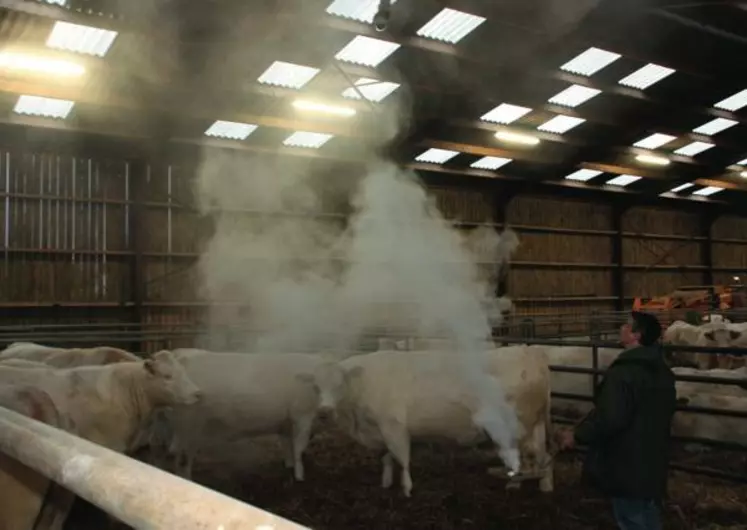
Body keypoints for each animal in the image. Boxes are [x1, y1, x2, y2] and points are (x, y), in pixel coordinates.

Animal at [328, 344, 556, 498]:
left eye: (339, 381)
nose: (325, 406)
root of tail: (529, 351)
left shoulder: (394, 427)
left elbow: (402, 458)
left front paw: (407, 488)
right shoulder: (380, 430)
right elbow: (387, 458)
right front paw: (386, 482)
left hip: (520, 426)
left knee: (528, 456)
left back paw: (514, 484)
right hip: (536, 425)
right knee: (543, 456)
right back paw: (545, 486)